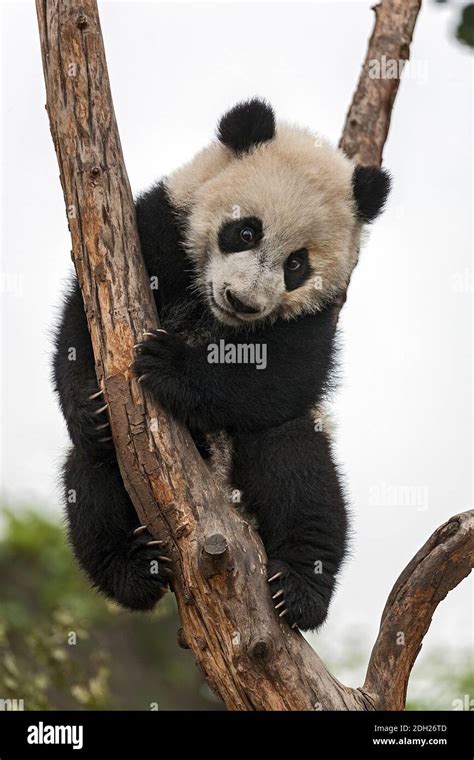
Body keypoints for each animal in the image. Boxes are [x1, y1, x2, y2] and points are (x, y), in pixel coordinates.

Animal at [53, 99, 390, 628]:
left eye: (297, 264)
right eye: (245, 231)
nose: (243, 301)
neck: (211, 317)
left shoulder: (316, 316)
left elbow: (281, 377)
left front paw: (170, 364)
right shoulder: (157, 228)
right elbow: (85, 322)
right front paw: (88, 407)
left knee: (300, 471)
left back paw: (300, 588)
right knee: (91, 480)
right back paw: (135, 571)